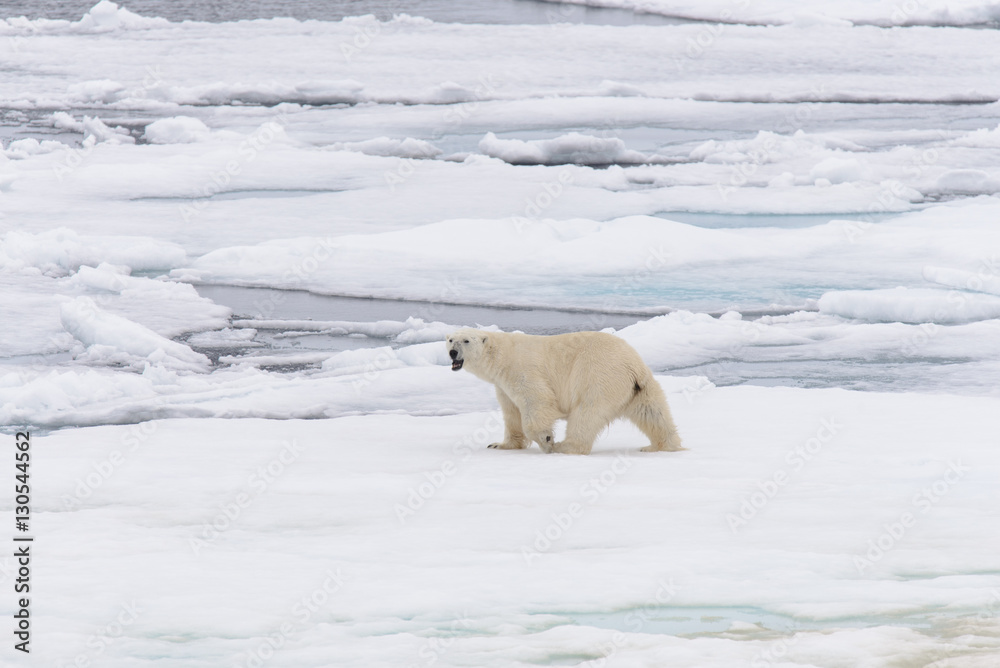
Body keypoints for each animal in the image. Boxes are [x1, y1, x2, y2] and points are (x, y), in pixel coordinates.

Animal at [446, 328, 683, 455]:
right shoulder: (502, 385)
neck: (502, 356)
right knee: (653, 412)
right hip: (640, 388)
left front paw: (547, 440)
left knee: (587, 412)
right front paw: (499, 444)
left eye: (466, 340)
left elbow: (537, 400)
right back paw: (661, 446)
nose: (452, 352)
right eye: (450, 339)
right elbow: (511, 413)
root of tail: (632, 366)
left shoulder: (522, 370)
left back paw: (565, 446)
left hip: (597, 375)